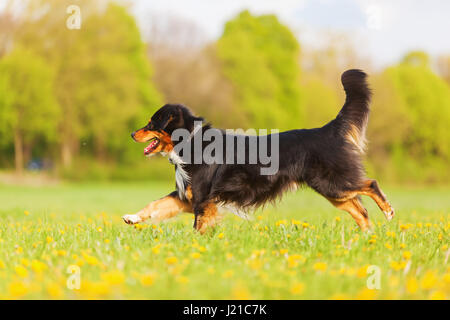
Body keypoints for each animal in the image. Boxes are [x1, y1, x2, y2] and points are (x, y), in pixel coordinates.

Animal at [122, 69, 394, 232]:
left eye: (151, 123)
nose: (133, 134)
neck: (191, 141)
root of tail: (329, 129)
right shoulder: (186, 197)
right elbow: (156, 205)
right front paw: (132, 218)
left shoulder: (201, 198)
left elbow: (198, 225)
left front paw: (197, 247)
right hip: (332, 190)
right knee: (360, 211)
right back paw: (366, 238)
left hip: (332, 183)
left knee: (370, 185)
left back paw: (388, 212)